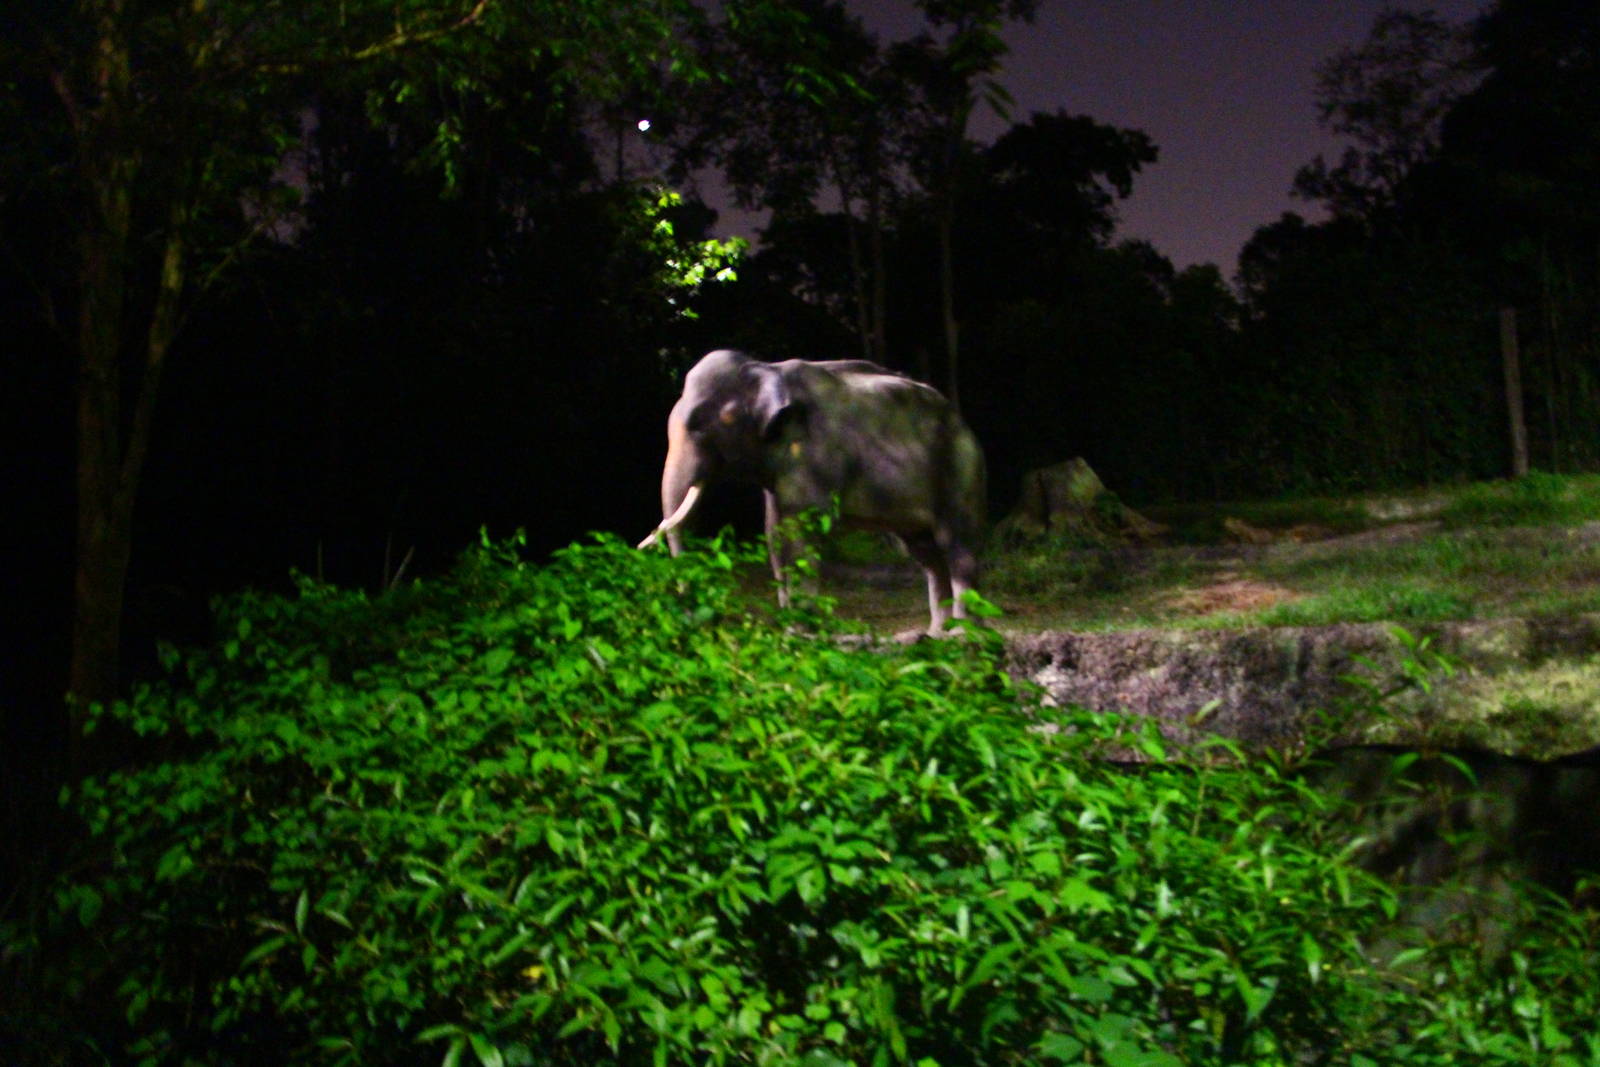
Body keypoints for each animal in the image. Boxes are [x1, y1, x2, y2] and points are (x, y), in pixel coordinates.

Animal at [638, 349, 987, 633]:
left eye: (698, 425)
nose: (698, 620)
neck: (765, 367)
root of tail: (966, 426)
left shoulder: (813, 451)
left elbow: (800, 530)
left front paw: (804, 630)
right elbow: (775, 532)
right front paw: (791, 629)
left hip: (959, 469)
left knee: (956, 546)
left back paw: (965, 634)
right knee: (926, 553)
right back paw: (938, 634)